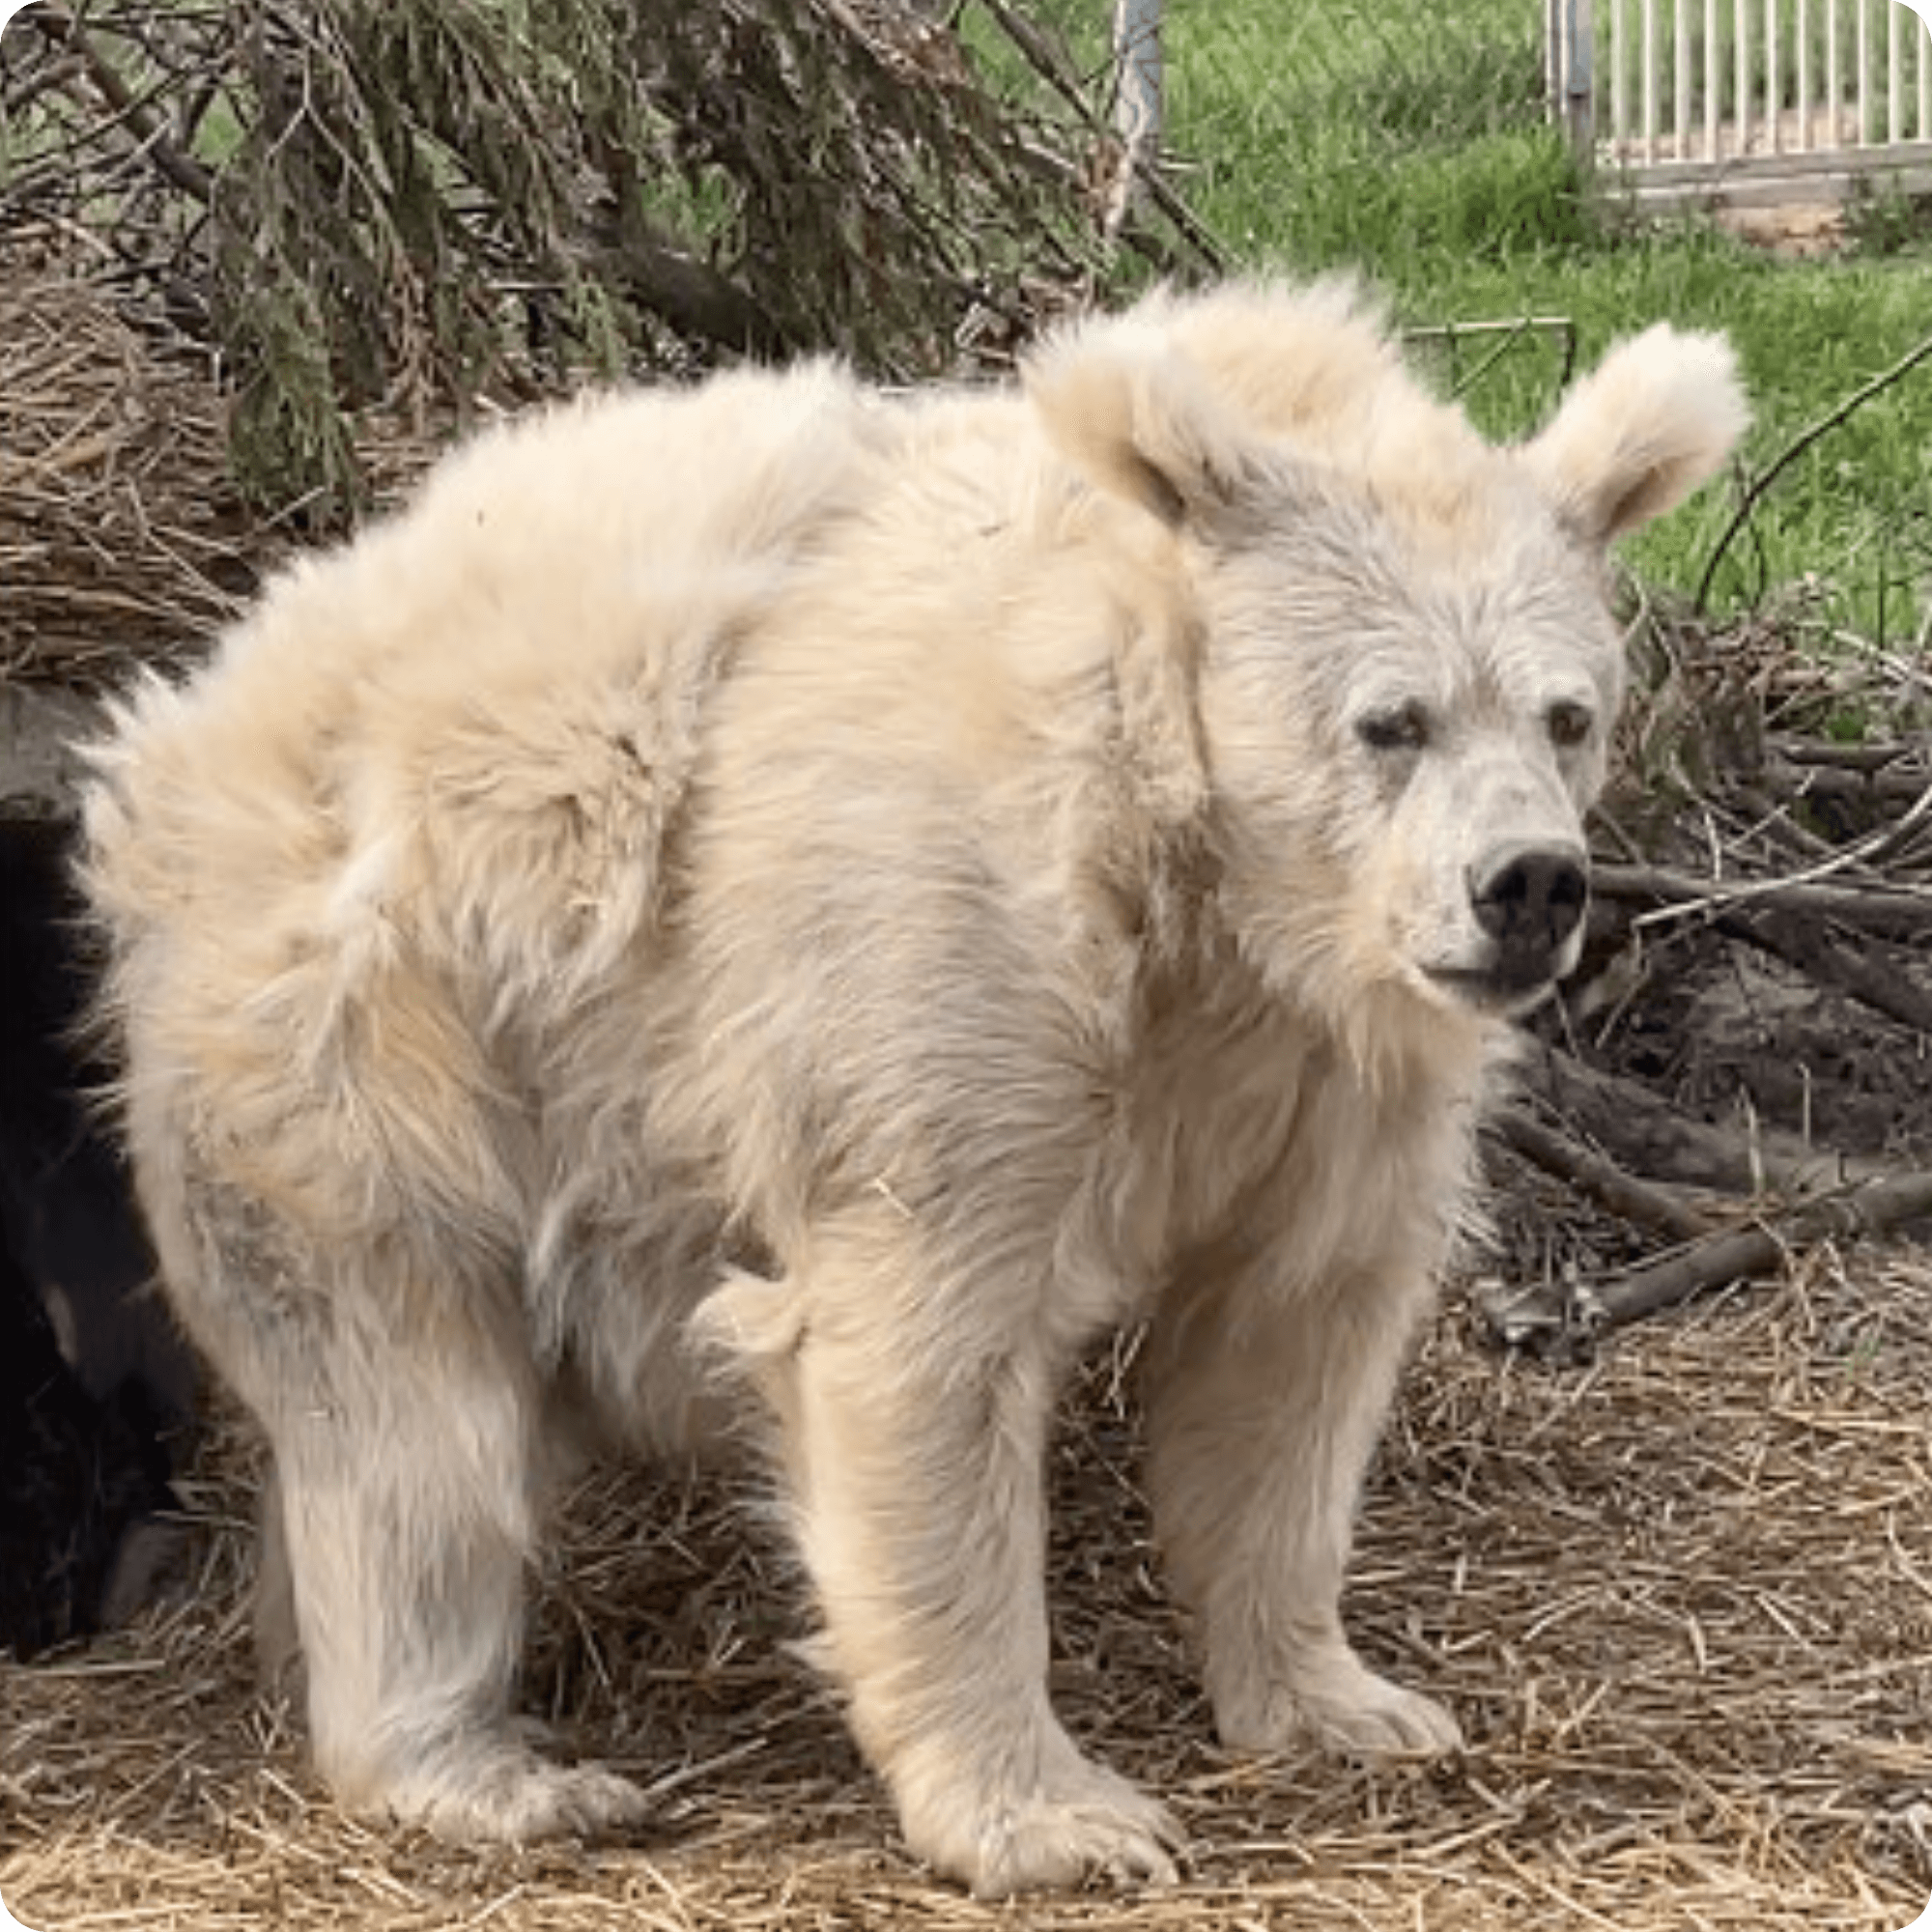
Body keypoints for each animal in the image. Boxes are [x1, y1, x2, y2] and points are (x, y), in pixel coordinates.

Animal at [78, 280, 1746, 1897]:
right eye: (1390, 719)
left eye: (1567, 713)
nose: (1528, 886)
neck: (1203, 890)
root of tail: (181, 722)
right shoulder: (951, 970)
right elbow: (921, 1352)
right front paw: (1055, 1817)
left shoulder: (1325, 1067)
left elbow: (1293, 1341)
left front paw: (1350, 1704)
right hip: (373, 1037)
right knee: (415, 1425)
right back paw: (493, 1770)